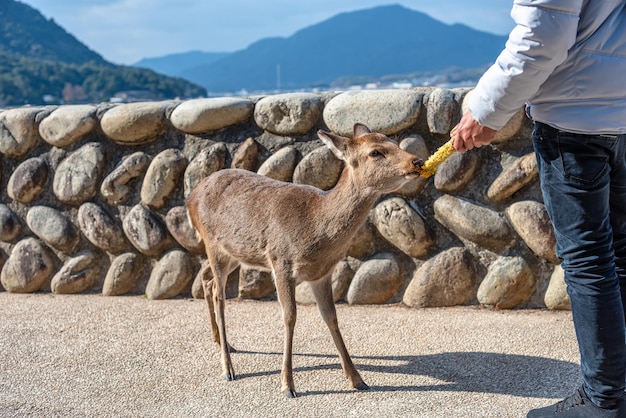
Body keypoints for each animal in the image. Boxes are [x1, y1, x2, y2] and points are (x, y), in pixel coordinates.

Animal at [184, 122, 420, 396]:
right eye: (375, 152)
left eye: (393, 141)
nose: (417, 161)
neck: (316, 228)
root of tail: (190, 198)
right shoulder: (281, 261)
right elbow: (290, 316)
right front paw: (288, 384)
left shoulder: (322, 273)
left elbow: (331, 317)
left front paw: (357, 379)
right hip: (213, 244)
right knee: (219, 295)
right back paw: (228, 368)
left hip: (235, 252)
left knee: (207, 279)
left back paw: (223, 343)